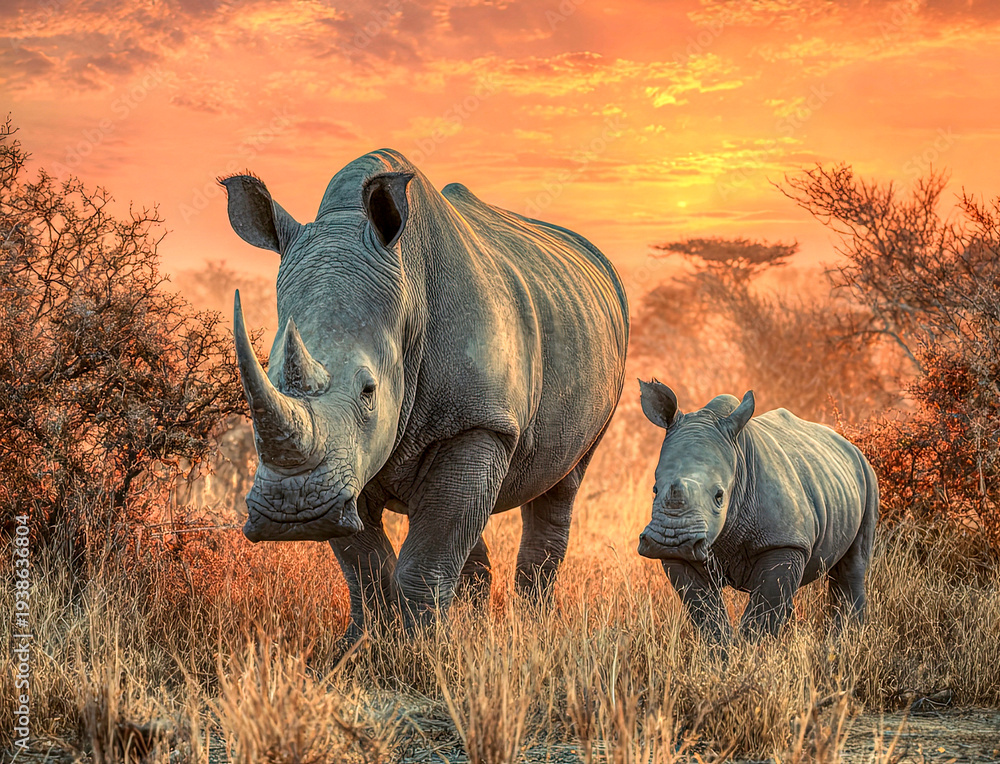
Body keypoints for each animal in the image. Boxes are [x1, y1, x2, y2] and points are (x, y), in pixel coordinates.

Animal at [221, 150, 629, 638]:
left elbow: (428, 555)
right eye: (269, 377)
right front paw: (364, 645)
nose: (293, 512)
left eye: (369, 390)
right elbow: (366, 564)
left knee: (561, 484)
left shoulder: (478, 422)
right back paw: (476, 621)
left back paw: (534, 625)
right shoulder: (346, 466)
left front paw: (424, 647)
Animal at [637, 380, 878, 642]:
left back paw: (846, 640)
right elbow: (706, 614)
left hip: (867, 475)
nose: (671, 540)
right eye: (654, 489)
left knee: (852, 567)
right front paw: (722, 652)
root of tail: (849, 444)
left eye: (719, 496)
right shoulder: (683, 557)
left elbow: (763, 613)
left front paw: (752, 650)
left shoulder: (784, 542)